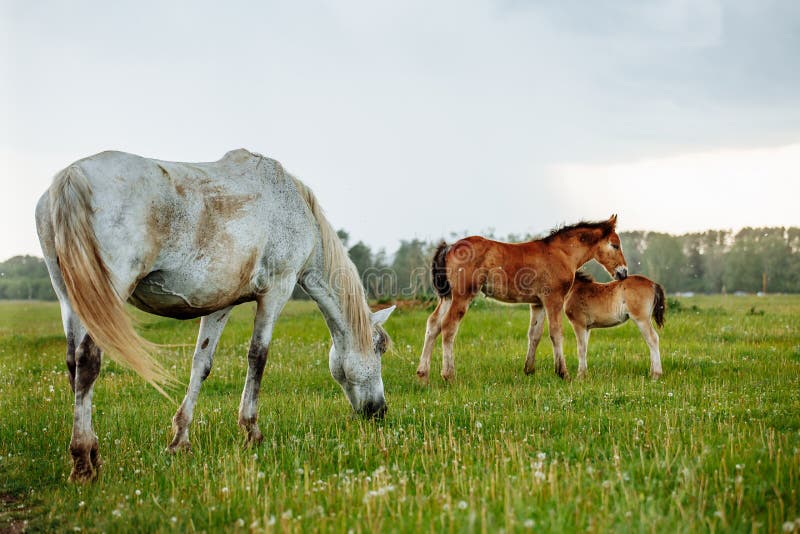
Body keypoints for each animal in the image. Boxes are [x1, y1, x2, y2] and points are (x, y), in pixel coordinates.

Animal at [35, 148, 395, 482]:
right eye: (379, 349)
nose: (379, 411)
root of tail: (71, 177)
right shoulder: (276, 291)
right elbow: (257, 357)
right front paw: (251, 431)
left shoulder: (220, 305)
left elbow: (201, 364)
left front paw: (180, 440)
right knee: (88, 361)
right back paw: (83, 463)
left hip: (70, 296)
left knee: (73, 363)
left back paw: (92, 454)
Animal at [416, 215, 628, 383]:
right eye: (615, 245)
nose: (623, 272)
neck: (561, 253)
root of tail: (449, 247)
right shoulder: (553, 299)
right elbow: (556, 333)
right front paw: (563, 373)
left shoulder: (537, 303)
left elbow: (534, 334)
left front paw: (529, 370)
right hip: (462, 295)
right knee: (448, 326)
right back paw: (448, 375)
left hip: (448, 297)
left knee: (433, 324)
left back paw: (423, 374)